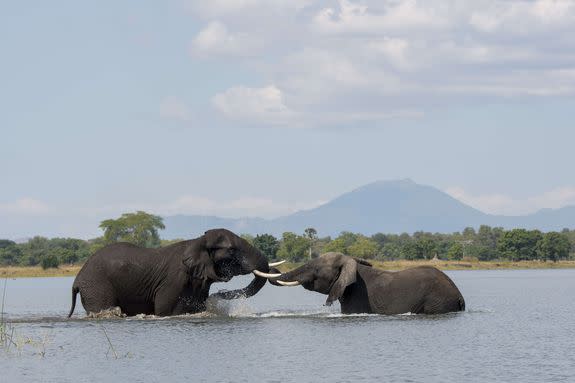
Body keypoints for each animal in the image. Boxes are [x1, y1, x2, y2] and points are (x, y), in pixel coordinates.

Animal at [68, 230, 284, 316]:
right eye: (231, 250)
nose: (217, 296)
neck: (198, 241)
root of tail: (77, 279)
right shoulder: (174, 281)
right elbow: (165, 311)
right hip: (97, 287)